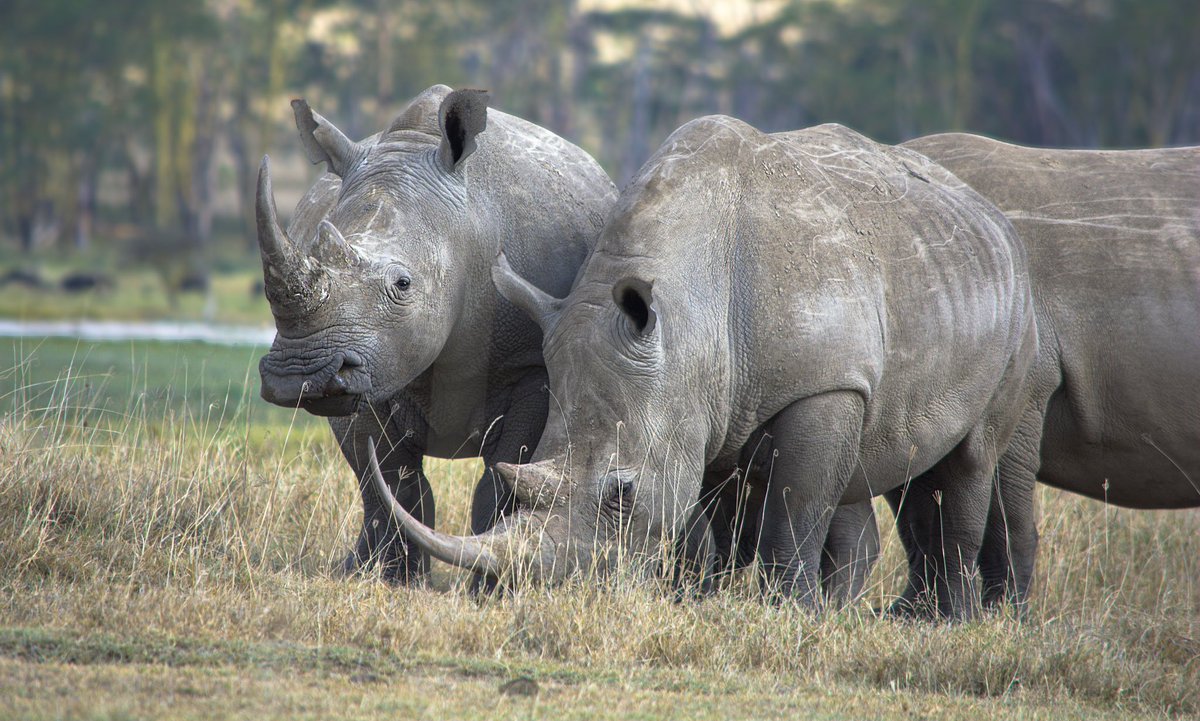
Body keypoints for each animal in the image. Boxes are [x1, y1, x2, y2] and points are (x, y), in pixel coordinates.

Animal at [255, 85, 617, 582]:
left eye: (404, 284)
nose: (298, 375)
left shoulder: (530, 367)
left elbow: (501, 478)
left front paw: (489, 585)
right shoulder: (367, 363)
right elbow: (389, 480)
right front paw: (390, 579)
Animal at [369, 117, 1038, 618]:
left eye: (621, 494)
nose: (566, 590)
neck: (690, 315)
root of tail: (990, 216)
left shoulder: (823, 387)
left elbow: (794, 507)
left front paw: (784, 614)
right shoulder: (697, 400)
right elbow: (702, 520)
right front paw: (691, 601)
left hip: (1017, 306)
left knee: (972, 458)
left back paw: (945, 621)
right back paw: (865, 614)